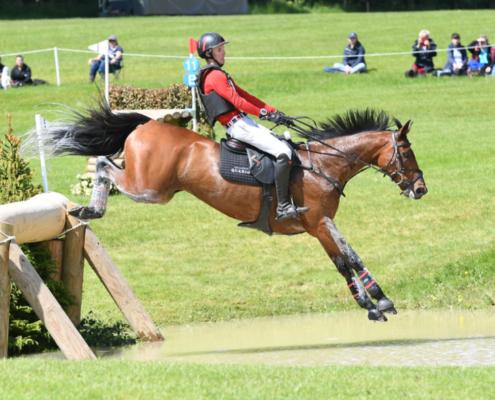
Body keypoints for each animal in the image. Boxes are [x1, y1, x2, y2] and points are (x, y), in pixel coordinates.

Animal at [24, 104, 427, 322]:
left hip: (153, 188)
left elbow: (344, 261)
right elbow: (351, 258)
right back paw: (93, 207)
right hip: (149, 188)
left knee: (106, 163)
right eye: (407, 153)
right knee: (105, 165)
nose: (421, 189)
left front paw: (372, 303)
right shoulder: (320, 222)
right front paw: (379, 301)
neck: (325, 165)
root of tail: (148, 123)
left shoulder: (319, 227)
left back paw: (91, 207)